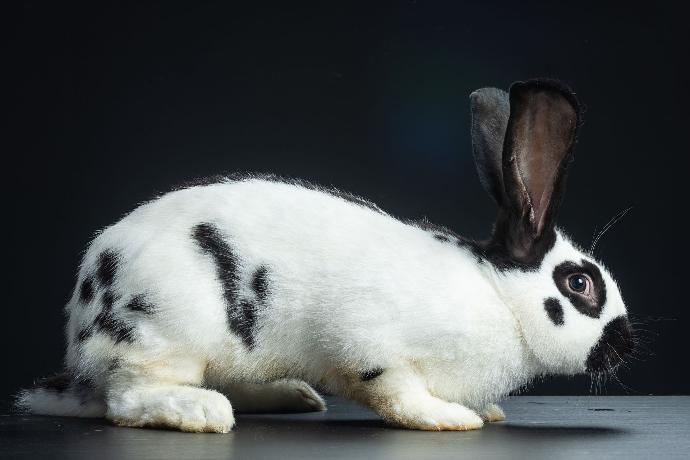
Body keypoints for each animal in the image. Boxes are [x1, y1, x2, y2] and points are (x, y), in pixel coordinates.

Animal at [16, 77, 632, 434]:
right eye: (580, 285)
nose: (626, 346)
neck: (500, 297)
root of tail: (81, 341)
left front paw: (485, 411)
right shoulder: (373, 347)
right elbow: (398, 394)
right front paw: (453, 419)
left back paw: (291, 396)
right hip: (165, 333)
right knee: (126, 400)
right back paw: (202, 412)